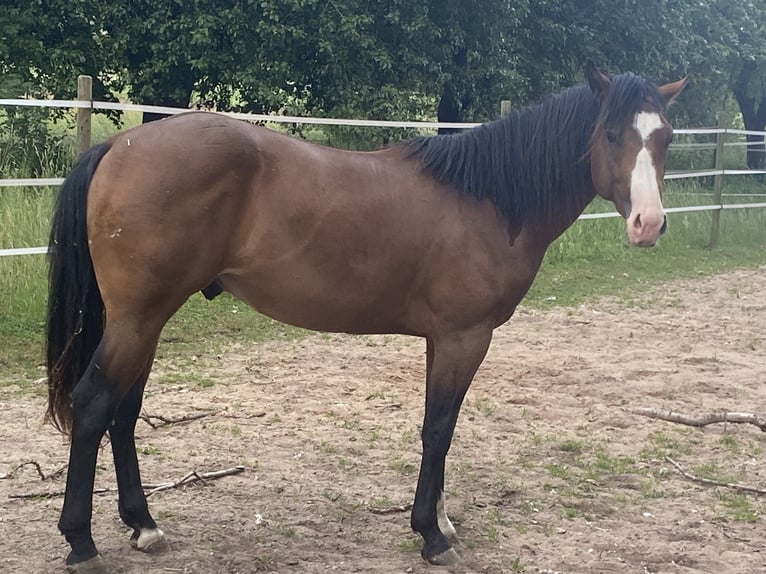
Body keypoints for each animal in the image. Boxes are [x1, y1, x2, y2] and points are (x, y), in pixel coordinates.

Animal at [45, 65, 686, 573]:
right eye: (610, 133)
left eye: (666, 138)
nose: (649, 224)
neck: (486, 199)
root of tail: (121, 145)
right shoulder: (466, 337)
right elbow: (439, 428)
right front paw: (432, 537)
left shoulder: (442, 339)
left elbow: (440, 427)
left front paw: (442, 522)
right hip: (138, 317)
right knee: (95, 404)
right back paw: (81, 542)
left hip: (145, 320)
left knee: (124, 411)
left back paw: (144, 525)